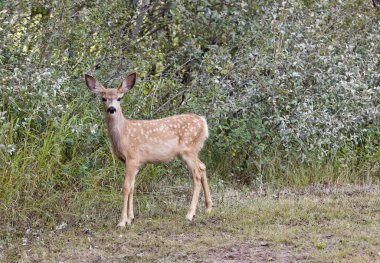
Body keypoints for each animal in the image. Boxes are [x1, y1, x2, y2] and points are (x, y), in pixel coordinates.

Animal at [84, 73, 212, 228]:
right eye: (103, 98)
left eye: (119, 98)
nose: (112, 109)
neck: (124, 134)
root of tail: (203, 122)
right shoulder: (133, 162)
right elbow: (132, 188)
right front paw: (130, 218)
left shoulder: (132, 158)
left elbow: (126, 188)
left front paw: (122, 221)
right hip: (191, 151)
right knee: (203, 166)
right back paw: (208, 207)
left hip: (188, 149)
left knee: (197, 174)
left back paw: (190, 214)